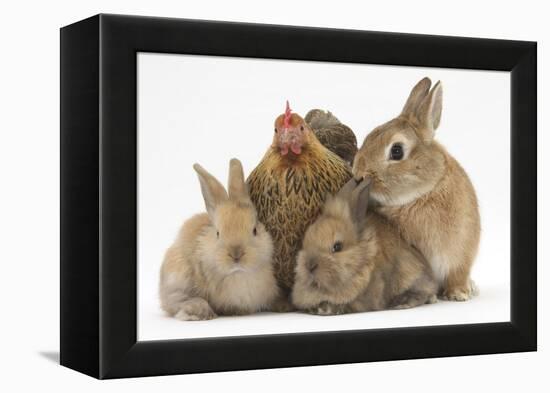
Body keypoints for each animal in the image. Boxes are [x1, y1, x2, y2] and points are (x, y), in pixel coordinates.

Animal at [356, 78, 480, 302]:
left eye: (397, 151)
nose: (358, 174)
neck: (421, 195)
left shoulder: (460, 255)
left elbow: (457, 274)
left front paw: (458, 294)